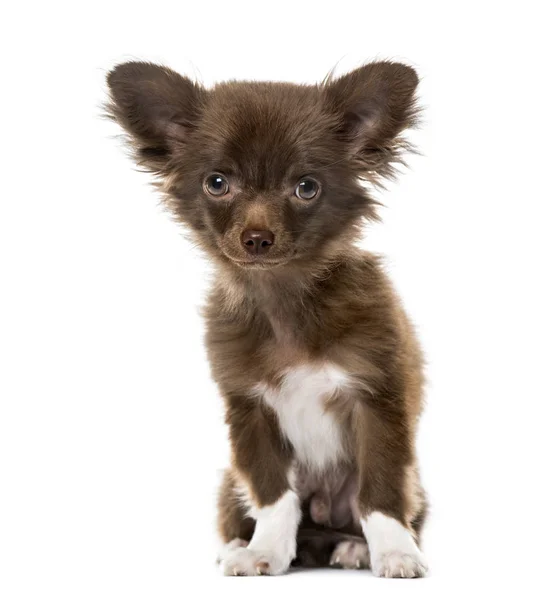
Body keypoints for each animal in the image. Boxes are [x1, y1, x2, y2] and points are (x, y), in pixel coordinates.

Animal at [107, 59, 430, 576]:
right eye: (217, 183)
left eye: (306, 188)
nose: (257, 238)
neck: (283, 301)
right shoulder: (249, 411)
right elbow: (275, 496)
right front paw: (265, 552)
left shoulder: (377, 401)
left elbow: (379, 492)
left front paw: (396, 552)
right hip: (228, 486)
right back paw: (244, 545)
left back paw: (355, 548)